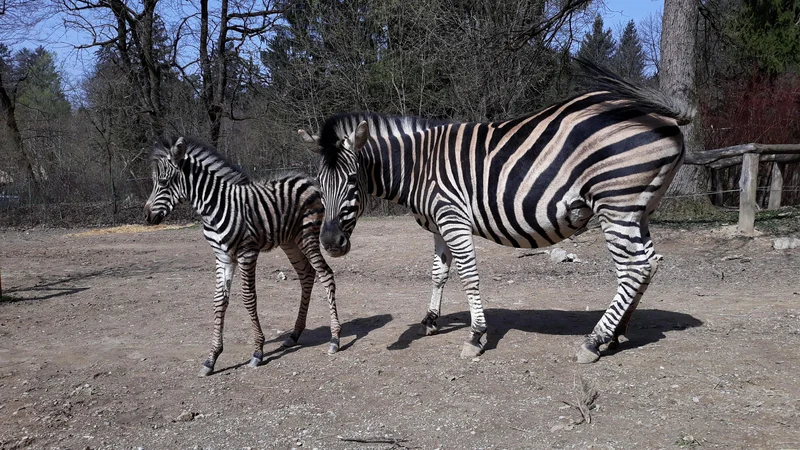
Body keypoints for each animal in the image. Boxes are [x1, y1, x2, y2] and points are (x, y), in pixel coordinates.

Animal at [144, 136, 340, 376]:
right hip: (290, 241)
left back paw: (335, 339)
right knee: (307, 275)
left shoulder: (247, 252)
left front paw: (257, 351)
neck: (214, 206)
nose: (147, 216)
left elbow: (248, 298)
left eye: (163, 182)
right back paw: (294, 335)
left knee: (325, 274)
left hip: (307, 235)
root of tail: (307, 178)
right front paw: (212, 358)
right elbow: (219, 301)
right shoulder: (222, 257)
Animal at [300, 59, 692, 362]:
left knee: (633, 268)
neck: (419, 166)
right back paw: (616, 334)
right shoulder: (439, 224)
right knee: (649, 264)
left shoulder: (453, 218)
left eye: (353, 179)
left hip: (616, 202)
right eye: (318, 182)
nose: (330, 243)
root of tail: (664, 117)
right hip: (640, 208)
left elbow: (468, 275)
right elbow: (438, 273)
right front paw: (430, 321)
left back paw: (594, 342)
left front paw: (475, 337)